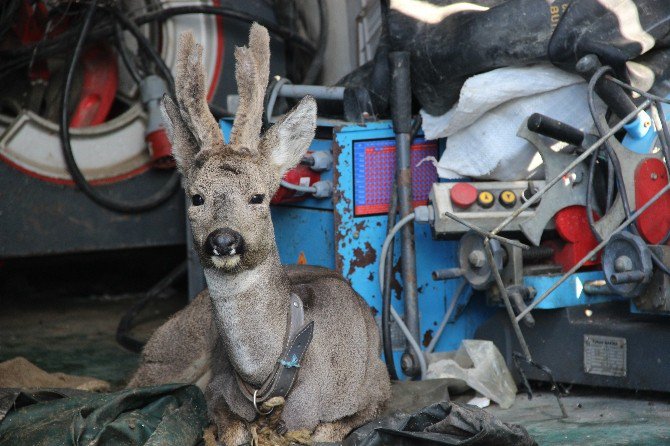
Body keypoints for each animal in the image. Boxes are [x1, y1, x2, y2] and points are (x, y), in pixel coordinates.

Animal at [131, 25, 392, 446]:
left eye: (257, 197)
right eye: (196, 197)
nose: (223, 240)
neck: (267, 382)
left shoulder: (377, 393)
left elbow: (326, 430)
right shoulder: (217, 393)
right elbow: (231, 429)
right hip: (173, 349)